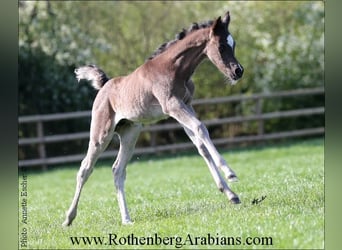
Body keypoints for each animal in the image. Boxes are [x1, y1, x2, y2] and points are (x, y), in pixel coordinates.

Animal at [63, 10, 243, 227]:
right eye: (222, 46)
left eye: (233, 44)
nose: (238, 71)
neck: (174, 69)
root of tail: (105, 85)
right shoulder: (172, 105)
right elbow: (201, 128)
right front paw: (230, 173)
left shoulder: (186, 105)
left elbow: (200, 144)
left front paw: (230, 194)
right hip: (101, 134)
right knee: (85, 169)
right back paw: (68, 218)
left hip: (130, 133)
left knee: (117, 170)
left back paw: (126, 219)